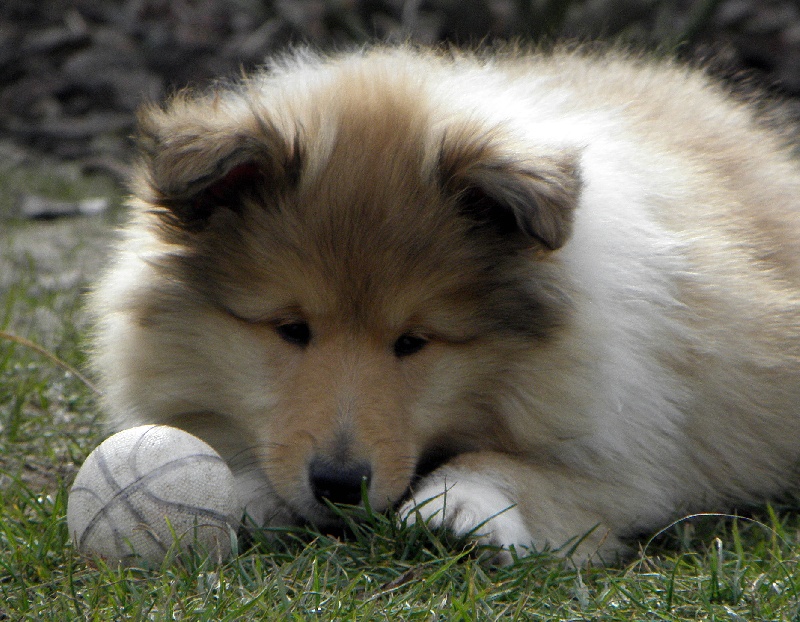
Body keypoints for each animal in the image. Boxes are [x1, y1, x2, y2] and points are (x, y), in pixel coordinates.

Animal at [88, 44, 800, 565]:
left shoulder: (637, 455)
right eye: (291, 329)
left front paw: (458, 505)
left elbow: (517, 466)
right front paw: (245, 494)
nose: (340, 487)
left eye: (414, 342)